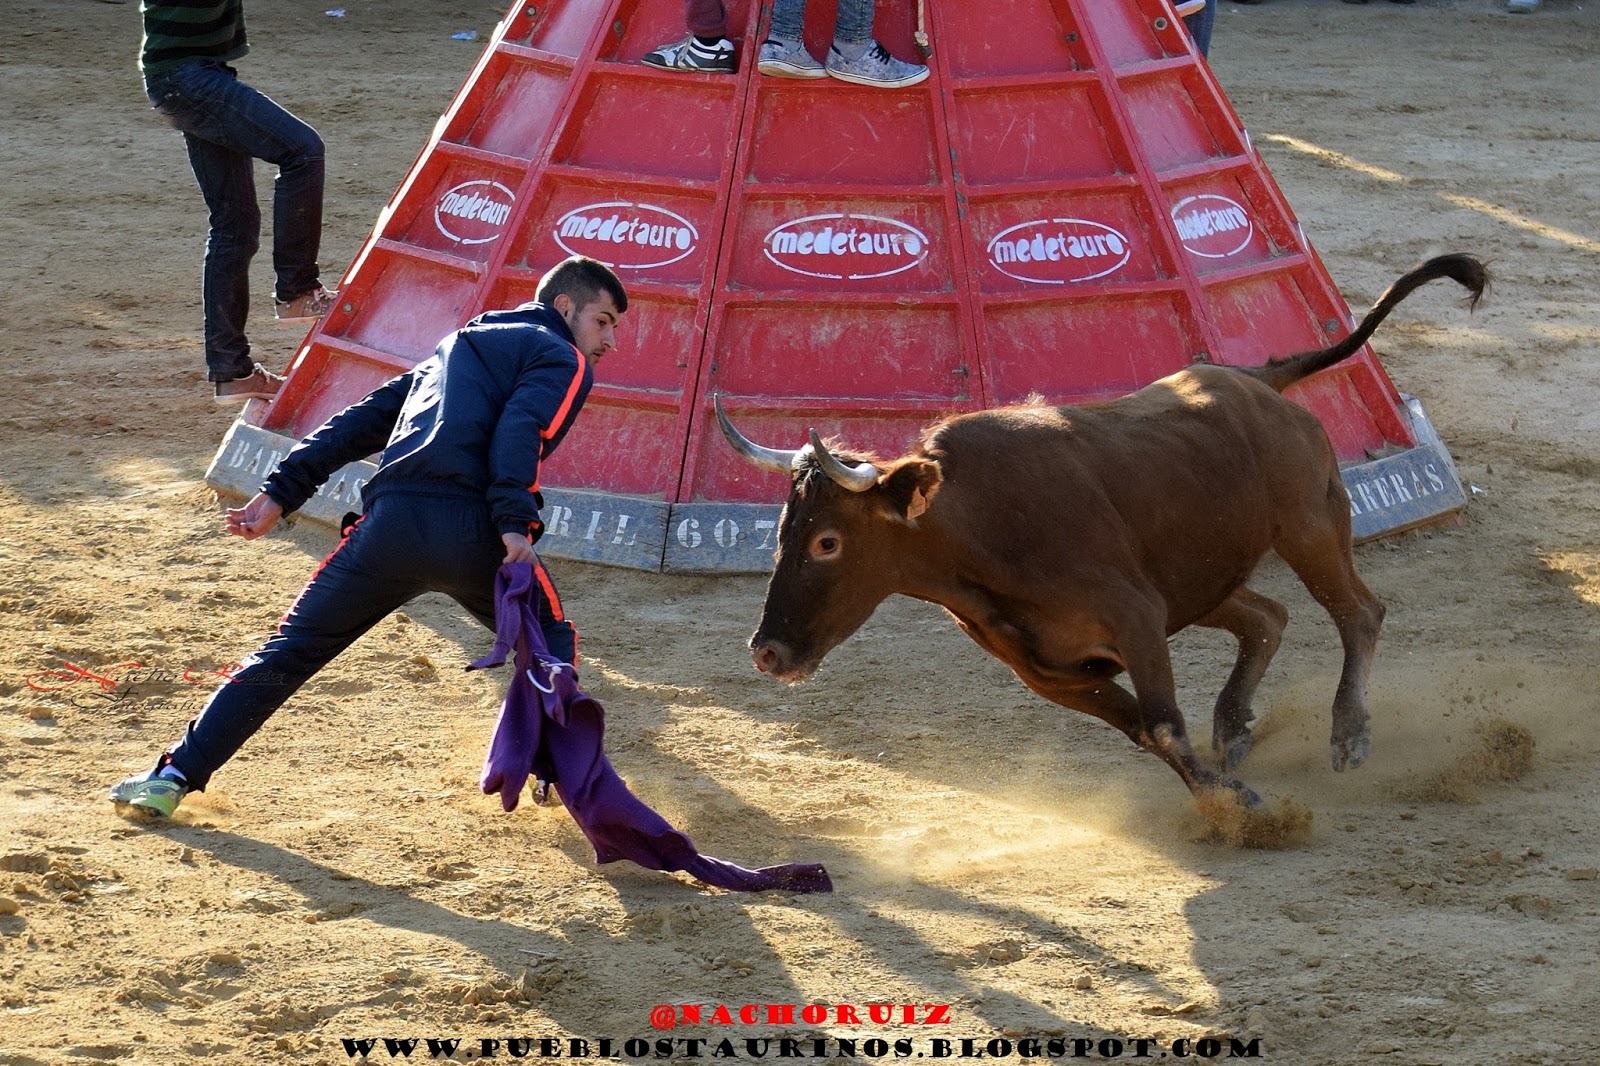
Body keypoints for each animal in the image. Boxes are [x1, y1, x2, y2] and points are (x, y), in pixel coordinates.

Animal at [716, 254, 1489, 807]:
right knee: (1267, 616)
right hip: (1203, 581)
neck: (980, 531)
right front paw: (1225, 788)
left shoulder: (1136, 615)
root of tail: (1255, 377)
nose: (767, 652)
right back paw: (1235, 725)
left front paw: (1238, 805)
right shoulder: (1053, 673)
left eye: (827, 542)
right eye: (780, 532)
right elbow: (1149, 732)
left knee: (1358, 611)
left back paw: (1348, 735)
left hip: (1310, 526)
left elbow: (1164, 724)